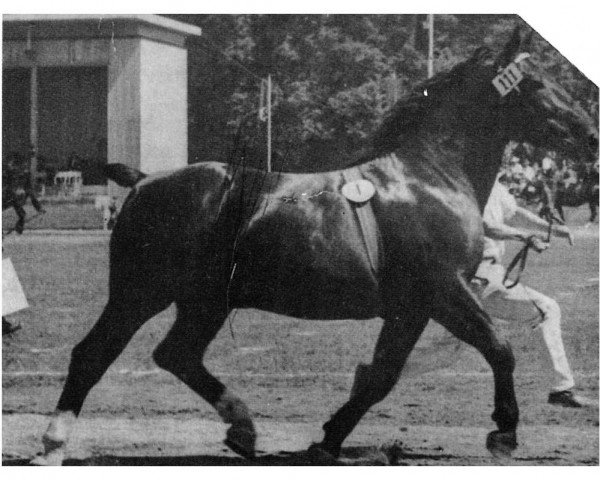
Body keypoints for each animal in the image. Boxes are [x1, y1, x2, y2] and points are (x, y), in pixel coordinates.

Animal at [31, 28, 596, 464]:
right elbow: (498, 348)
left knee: (176, 353)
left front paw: (328, 438)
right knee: (94, 353)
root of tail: (145, 179)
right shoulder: (442, 290)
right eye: (537, 83)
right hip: (139, 292)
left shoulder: (411, 307)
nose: (590, 132)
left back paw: (243, 428)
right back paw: (54, 440)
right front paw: (504, 431)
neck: (428, 177)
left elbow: (381, 375)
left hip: (204, 301)